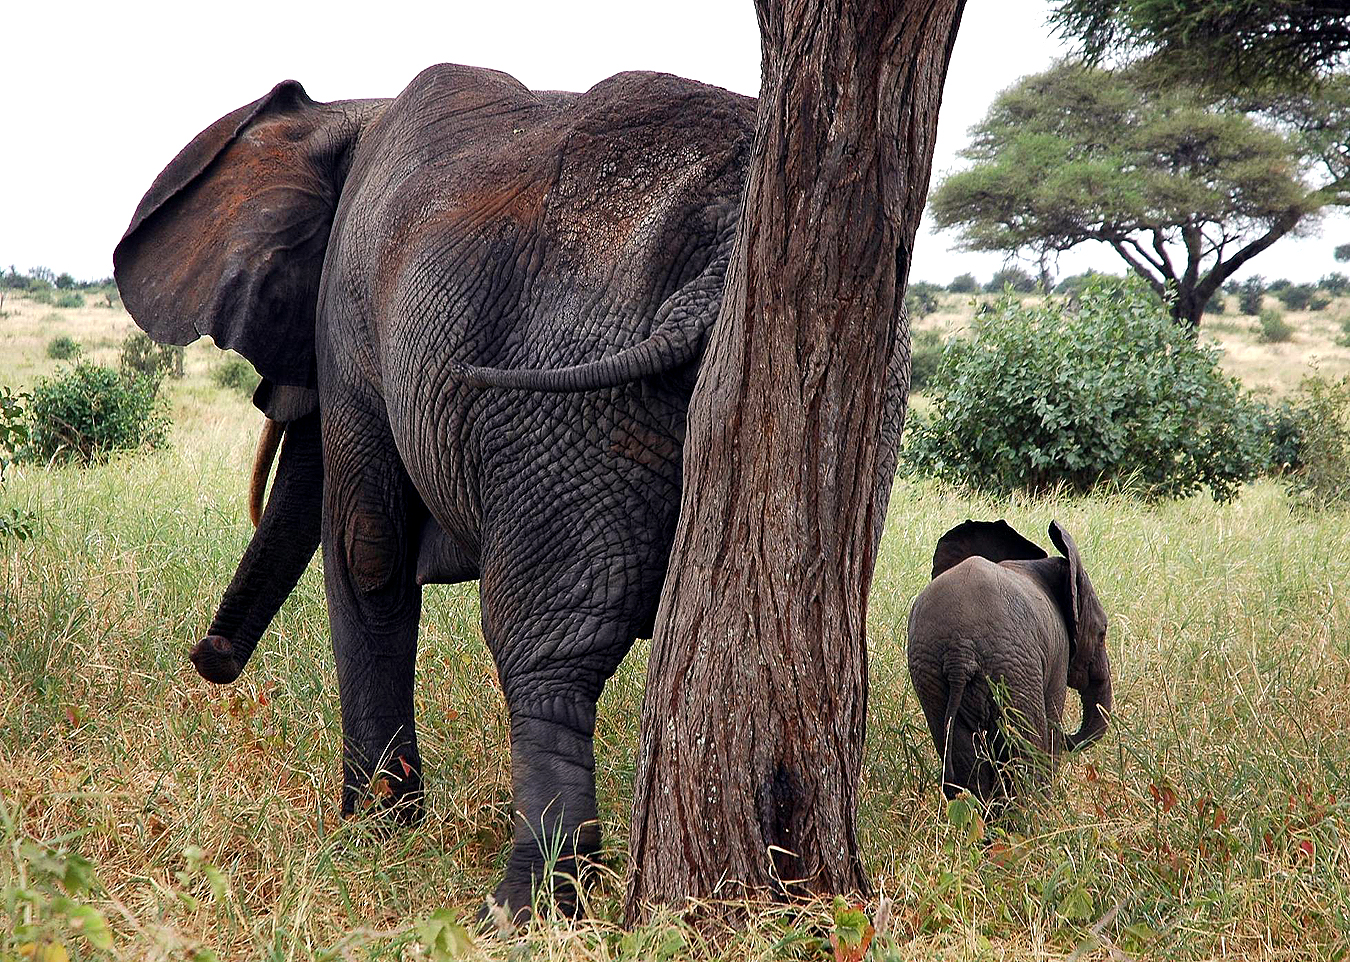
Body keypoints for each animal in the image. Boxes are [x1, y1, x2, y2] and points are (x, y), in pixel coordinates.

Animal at [113, 64, 907, 917]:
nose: (211, 658)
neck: (352, 110)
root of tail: (727, 247)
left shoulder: (350, 326)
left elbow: (366, 550)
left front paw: (373, 837)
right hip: (849, 396)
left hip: (566, 408)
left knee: (543, 651)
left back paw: (523, 907)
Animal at [906, 519, 1112, 802]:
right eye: (1102, 632)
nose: (1069, 737)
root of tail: (960, 649)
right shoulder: (1057, 654)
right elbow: (1050, 721)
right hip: (1012, 669)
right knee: (1023, 749)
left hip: (931, 674)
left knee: (964, 759)